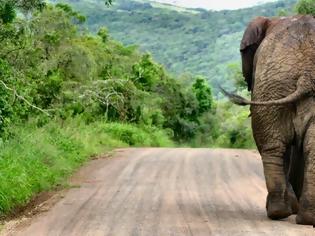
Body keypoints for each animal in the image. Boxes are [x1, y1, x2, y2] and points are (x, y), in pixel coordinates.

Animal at [222, 14, 315, 225]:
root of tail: (307, 76)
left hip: (270, 86)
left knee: (273, 147)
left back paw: (282, 213)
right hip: (273, 87)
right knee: (275, 146)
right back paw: (295, 215)